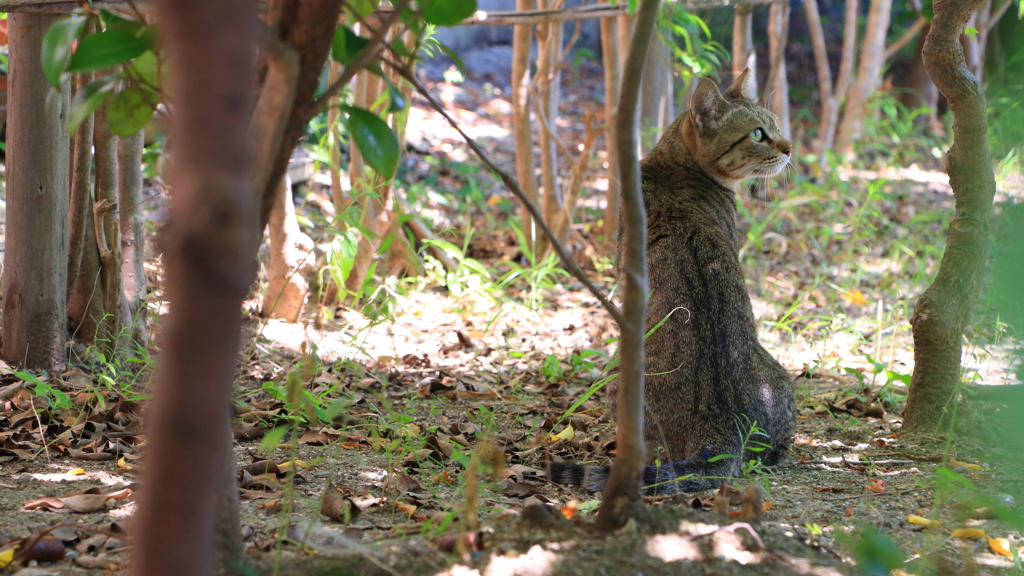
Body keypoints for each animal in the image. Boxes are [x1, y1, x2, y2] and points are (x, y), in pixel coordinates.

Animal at [548, 69, 794, 494]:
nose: (790, 147)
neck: (674, 164)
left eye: (776, 125)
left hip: (618, 378)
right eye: (758, 133)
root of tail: (722, 430)